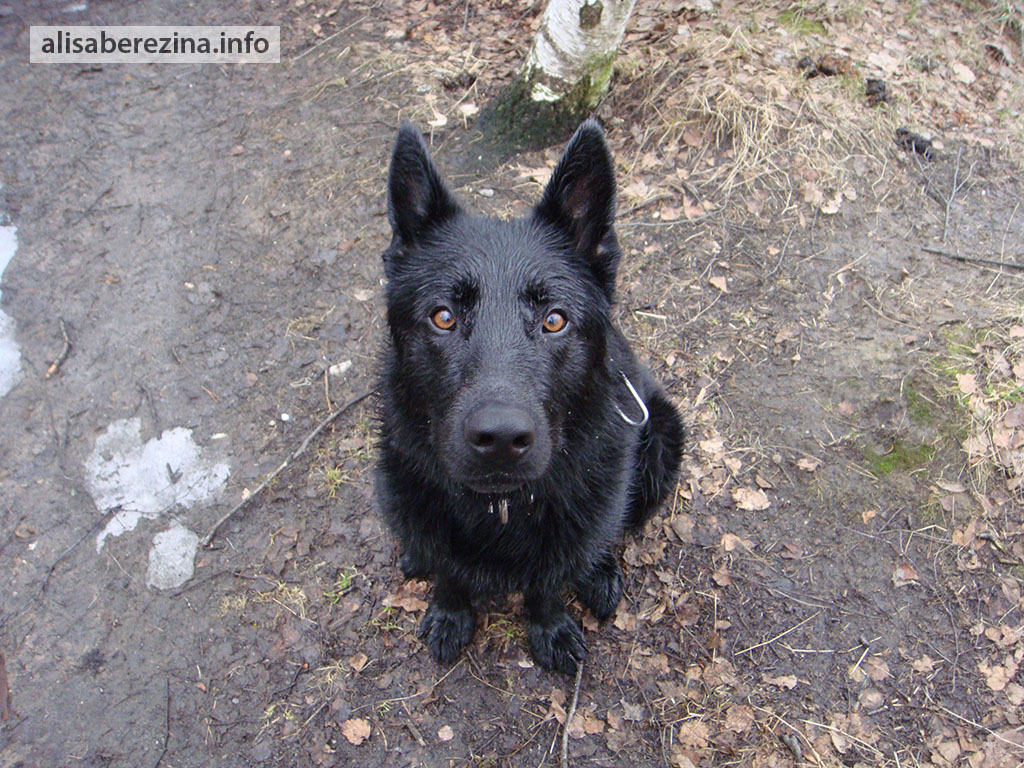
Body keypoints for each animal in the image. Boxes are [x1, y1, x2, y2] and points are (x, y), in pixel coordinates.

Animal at [374, 118, 679, 671]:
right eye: (443, 317)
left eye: (554, 320)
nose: (499, 439)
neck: (501, 509)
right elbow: (448, 571)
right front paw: (450, 610)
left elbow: (549, 583)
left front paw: (550, 626)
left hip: (662, 440)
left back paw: (600, 571)